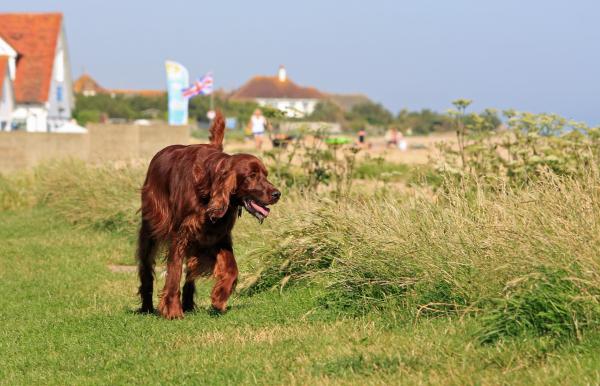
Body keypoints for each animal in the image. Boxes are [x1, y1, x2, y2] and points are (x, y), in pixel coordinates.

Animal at [137, 112, 280, 320]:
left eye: (265, 174)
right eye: (252, 176)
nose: (277, 194)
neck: (207, 187)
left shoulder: (219, 236)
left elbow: (232, 269)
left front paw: (219, 297)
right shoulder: (181, 235)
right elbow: (174, 272)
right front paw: (172, 311)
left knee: (191, 271)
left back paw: (188, 304)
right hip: (151, 229)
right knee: (146, 268)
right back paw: (147, 306)